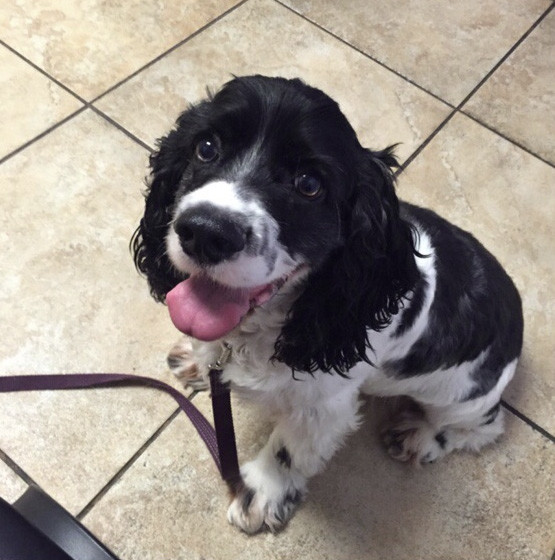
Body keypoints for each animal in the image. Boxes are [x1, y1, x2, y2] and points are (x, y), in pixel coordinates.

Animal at [132, 75, 524, 532]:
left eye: (309, 184)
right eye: (206, 147)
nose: (206, 231)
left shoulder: (323, 405)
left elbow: (289, 449)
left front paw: (260, 492)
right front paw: (197, 360)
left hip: (461, 397)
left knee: (483, 427)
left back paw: (419, 436)